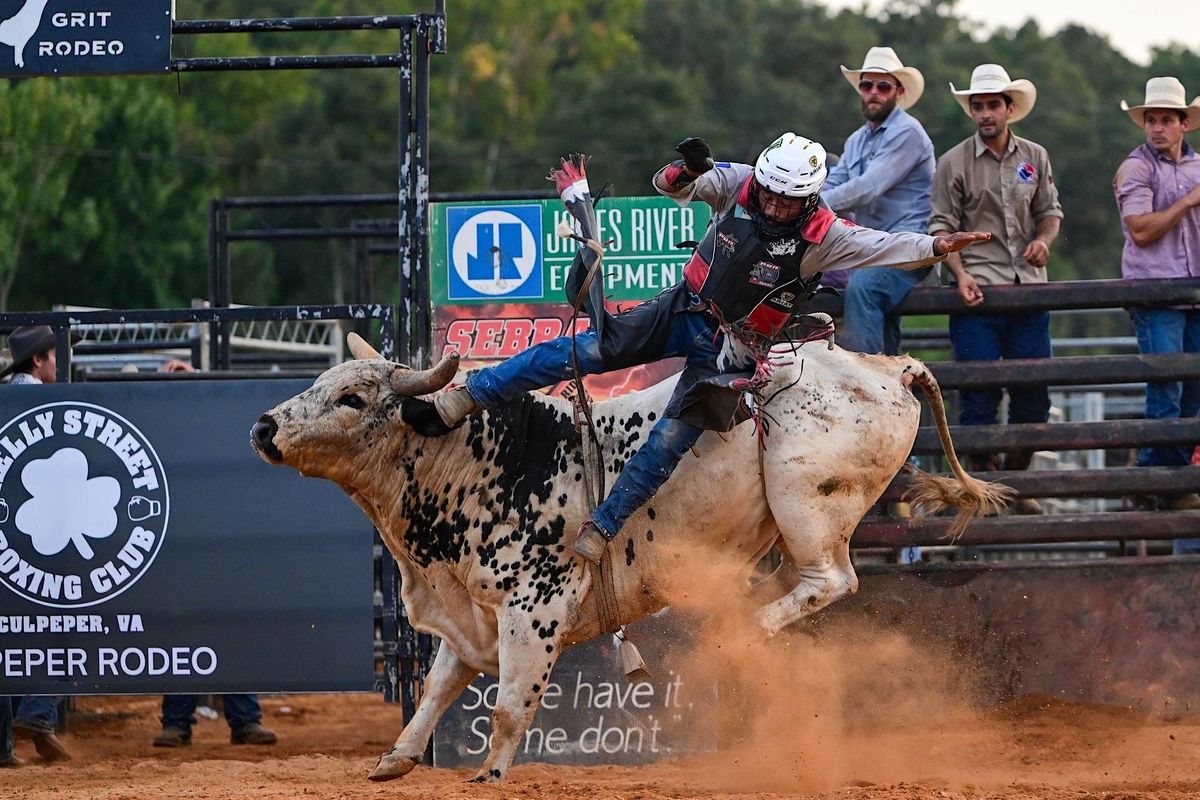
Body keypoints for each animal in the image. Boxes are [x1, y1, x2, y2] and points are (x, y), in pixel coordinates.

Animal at [248, 331, 1008, 782]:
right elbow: (437, 689)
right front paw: (395, 759)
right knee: (795, 582)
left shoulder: (536, 606)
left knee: (831, 579)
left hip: (808, 500)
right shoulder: (471, 611)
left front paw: (489, 775)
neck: (478, 458)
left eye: (352, 398)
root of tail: (888, 367)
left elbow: (510, 704)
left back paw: (733, 637)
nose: (263, 427)